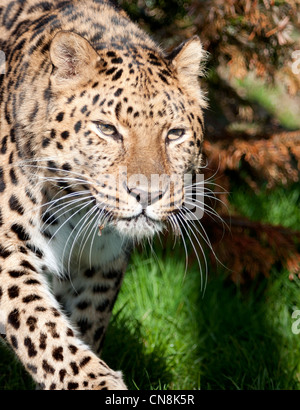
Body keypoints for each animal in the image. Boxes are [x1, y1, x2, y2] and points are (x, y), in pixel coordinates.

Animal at [0, 0, 206, 390]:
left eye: (175, 134)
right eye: (107, 129)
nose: (147, 195)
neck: (76, 212)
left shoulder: (101, 265)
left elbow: (85, 321)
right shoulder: (8, 245)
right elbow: (42, 326)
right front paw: (95, 382)